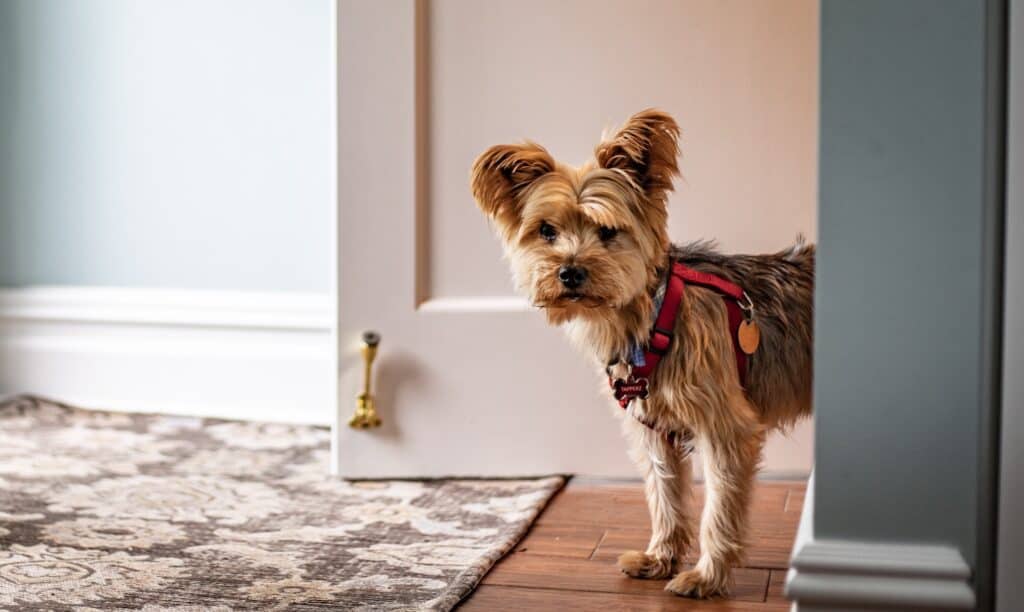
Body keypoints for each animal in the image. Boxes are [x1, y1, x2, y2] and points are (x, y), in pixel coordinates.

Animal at [468, 110, 811, 597]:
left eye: (608, 231)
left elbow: (719, 507)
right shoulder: (654, 430)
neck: (648, 316)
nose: (569, 272)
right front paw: (660, 558)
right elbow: (664, 494)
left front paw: (706, 577)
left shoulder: (726, 427)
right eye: (546, 231)